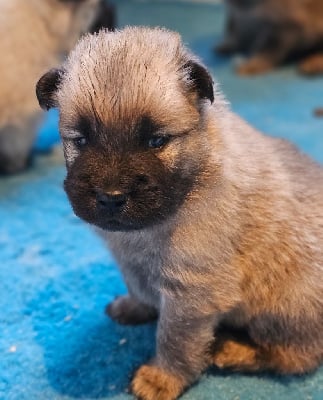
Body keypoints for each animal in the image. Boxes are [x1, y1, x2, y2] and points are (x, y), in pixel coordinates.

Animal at [36, 26, 323, 398]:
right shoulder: (133, 263)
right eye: (81, 140)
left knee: (295, 356)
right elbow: (138, 287)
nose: (111, 197)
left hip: (284, 306)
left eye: (156, 141)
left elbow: (175, 340)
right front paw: (132, 309)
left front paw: (161, 378)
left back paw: (233, 350)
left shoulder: (191, 293)